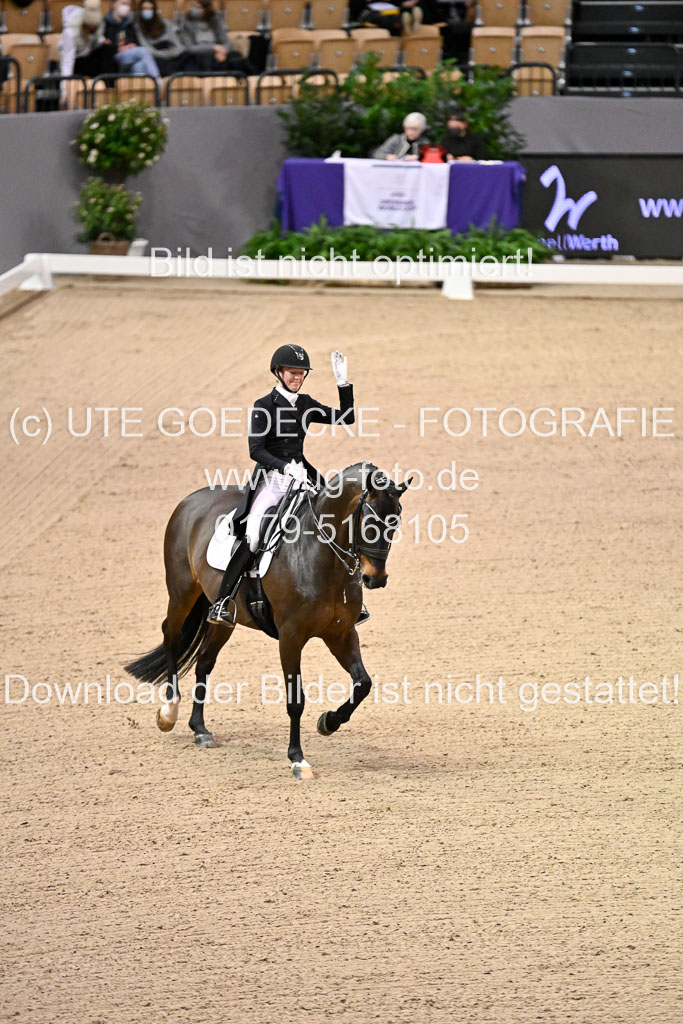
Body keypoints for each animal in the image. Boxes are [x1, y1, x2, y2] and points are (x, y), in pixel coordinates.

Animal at [124, 462, 409, 777]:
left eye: (396, 521)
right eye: (369, 522)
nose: (375, 579)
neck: (320, 555)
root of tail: (190, 501)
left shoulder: (341, 633)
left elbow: (363, 683)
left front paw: (328, 722)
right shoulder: (290, 637)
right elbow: (295, 701)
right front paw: (298, 759)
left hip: (224, 618)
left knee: (204, 661)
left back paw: (200, 729)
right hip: (181, 593)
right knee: (171, 637)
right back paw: (169, 713)